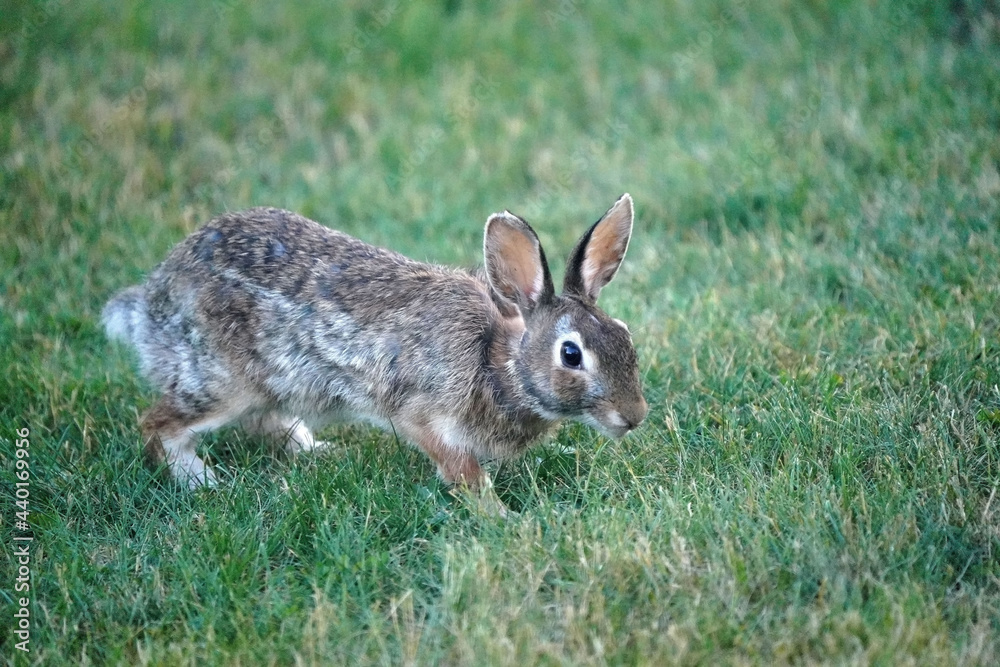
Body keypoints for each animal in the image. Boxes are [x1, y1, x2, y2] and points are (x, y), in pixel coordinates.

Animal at [103, 193, 648, 502]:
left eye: (624, 335)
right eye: (571, 355)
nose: (634, 416)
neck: (500, 361)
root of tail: (153, 297)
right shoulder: (423, 416)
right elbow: (463, 471)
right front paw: (496, 514)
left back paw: (318, 453)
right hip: (222, 381)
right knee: (159, 425)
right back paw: (205, 483)